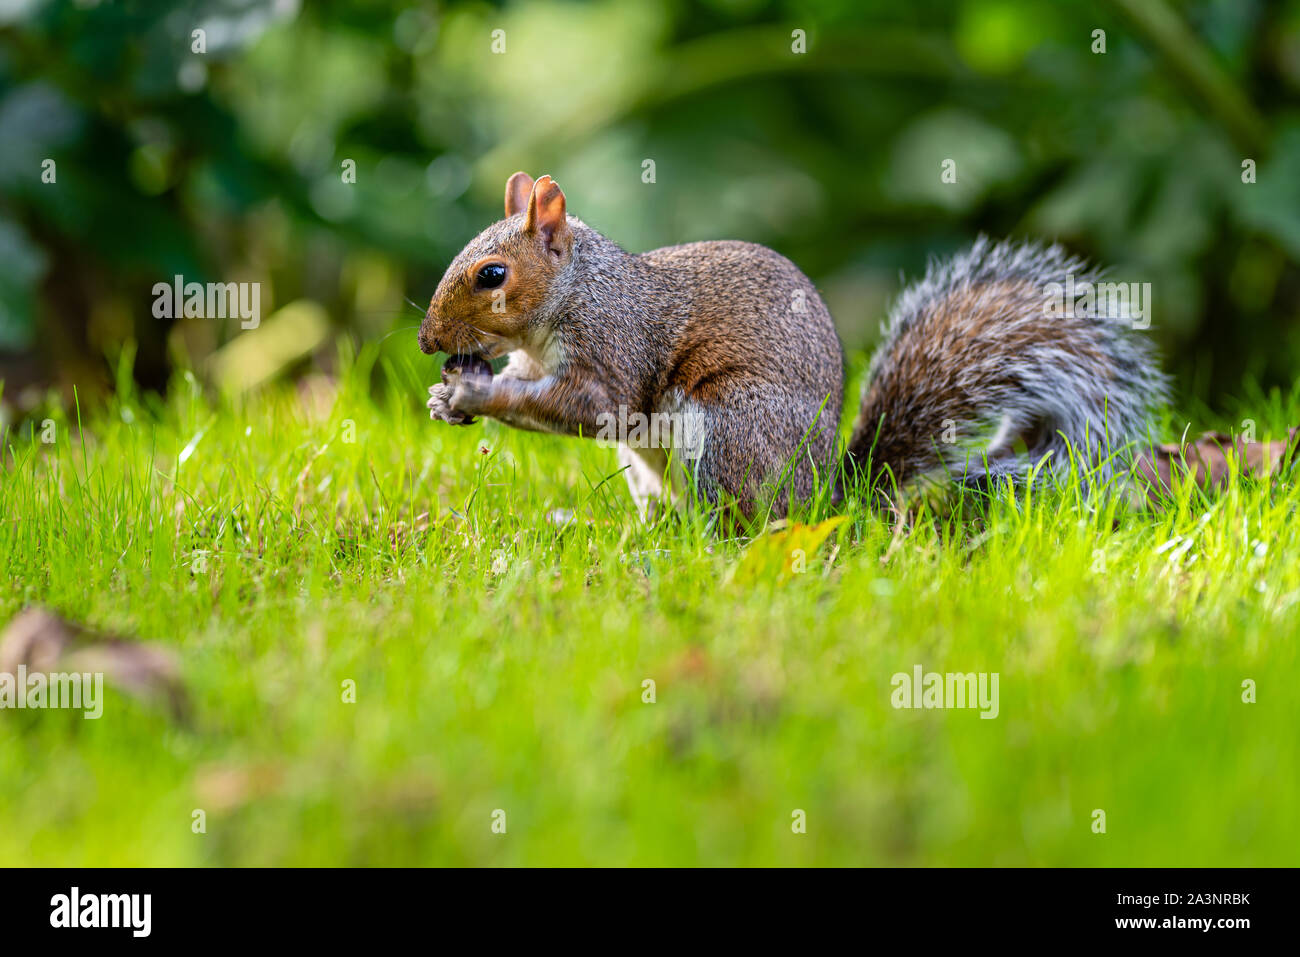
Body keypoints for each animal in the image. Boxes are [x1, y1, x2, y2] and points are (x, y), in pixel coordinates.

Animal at [423, 171, 1170, 514]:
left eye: (493, 274)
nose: (429, 341)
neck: (576, 291)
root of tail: (825, 499)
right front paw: (444, 397)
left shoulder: (612, 346)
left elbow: (584, 406)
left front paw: (476, 394)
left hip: (729, 428)